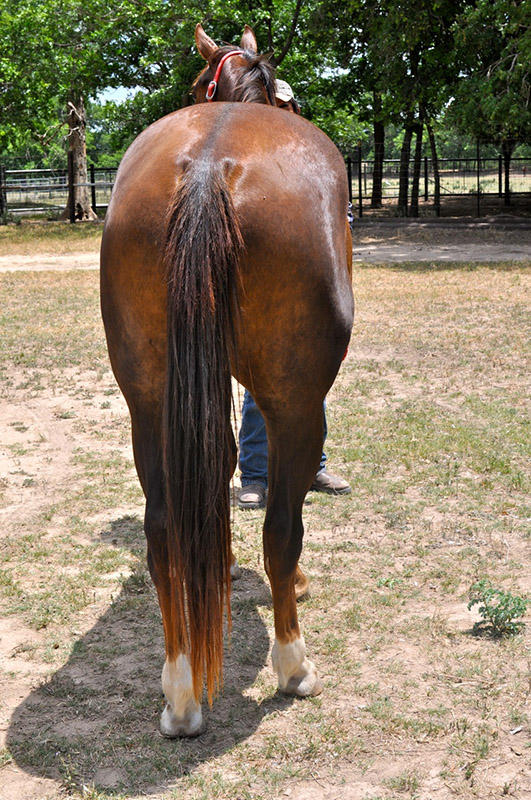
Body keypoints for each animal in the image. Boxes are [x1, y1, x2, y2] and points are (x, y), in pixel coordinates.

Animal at [102, 25, 356, 736]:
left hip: (149, 403)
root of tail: (209, 166)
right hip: (298, 401)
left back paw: (181, 692)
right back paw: (294, 665)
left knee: (164, 531)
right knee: (282, 529)